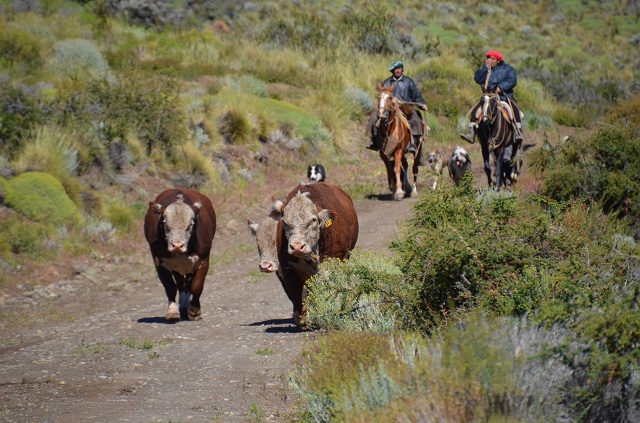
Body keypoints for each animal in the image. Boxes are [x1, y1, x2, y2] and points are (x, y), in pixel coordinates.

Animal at [144, 189, 216, 322]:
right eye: (166, 224)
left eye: (190, 225)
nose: (177, 245)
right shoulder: (158, 261)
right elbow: (170, 286)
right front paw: (172, 311)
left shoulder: (204, 259)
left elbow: (197, 286)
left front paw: (194, 310)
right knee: (180, 284)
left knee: (187, 285)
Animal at [272, 182, 358, 328]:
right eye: (285, 221)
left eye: (313, 220)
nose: (297, 247)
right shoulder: (287, 267)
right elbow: (296, 292)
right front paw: (302, 319)